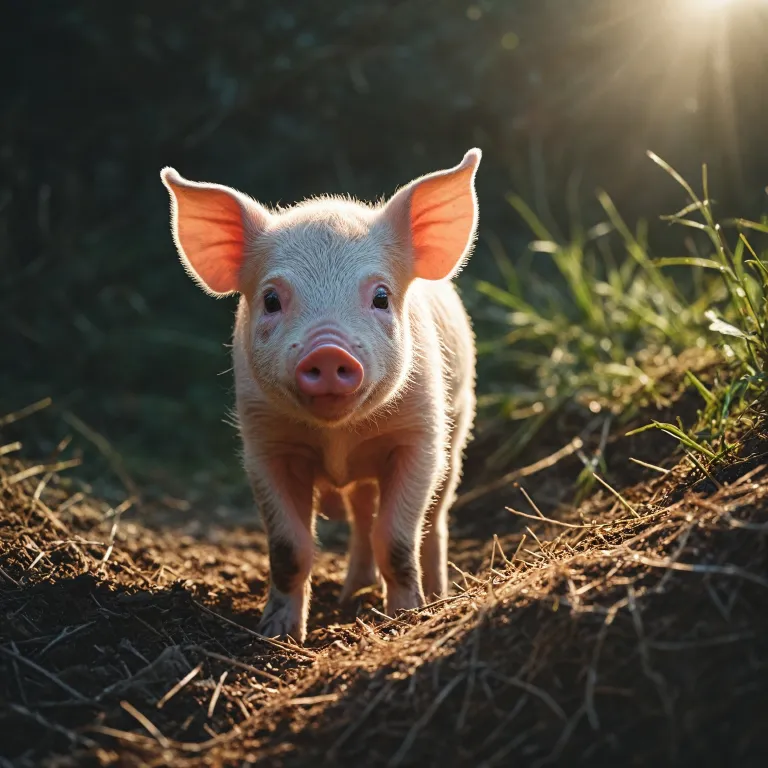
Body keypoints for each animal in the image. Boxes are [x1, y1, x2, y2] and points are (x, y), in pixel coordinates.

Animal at [160, 149, 481, 643]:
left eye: (381, 297)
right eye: (271, 300)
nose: (329, 351)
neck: (338, 438)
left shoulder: (420, 436)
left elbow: (398, 540)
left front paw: (406, 618)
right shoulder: (265, 445)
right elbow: (289, 548)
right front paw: (278, 634)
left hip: (458, 427)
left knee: (434, 521)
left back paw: (438, 594)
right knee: (362, 516)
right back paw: (353, 594)